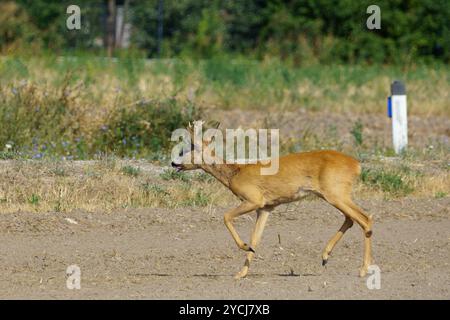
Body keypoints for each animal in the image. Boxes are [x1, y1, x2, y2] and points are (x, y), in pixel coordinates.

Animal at [172, 121, 372, 278]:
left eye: (186, 149)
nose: (173, 163)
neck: (236, 172)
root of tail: (356, 164)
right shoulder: (266, 208)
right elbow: (255, 238)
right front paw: (241, 272)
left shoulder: (254, 201)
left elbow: (226, 217)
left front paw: (244, 249)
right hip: (336, 197)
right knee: (351, 219)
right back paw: (325, 257)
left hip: (336, 196)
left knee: (365, 219)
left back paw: (363, 270)